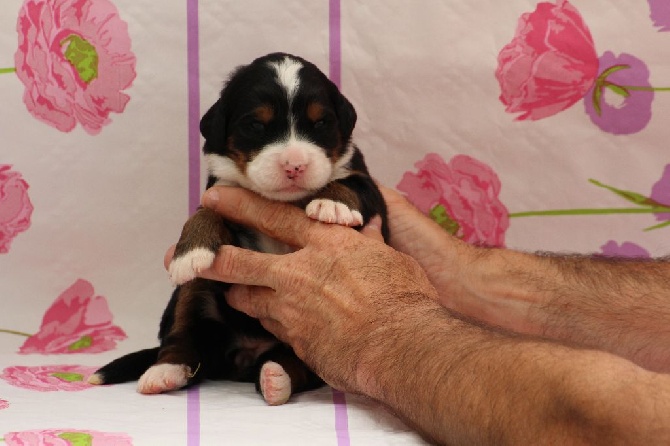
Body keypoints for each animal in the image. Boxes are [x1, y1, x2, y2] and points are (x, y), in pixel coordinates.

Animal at [92, 51, 392, 404]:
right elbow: (205, 214)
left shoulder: (367, 185)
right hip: (196, 293)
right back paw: (164, 373)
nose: (294, 165)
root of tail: (244, 356)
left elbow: (350, 185)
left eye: (321, 123)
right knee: (183, 337)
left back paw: (277, 378)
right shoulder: (222, 192)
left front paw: (332, 204)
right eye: (256, 125)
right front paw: (189, 254)